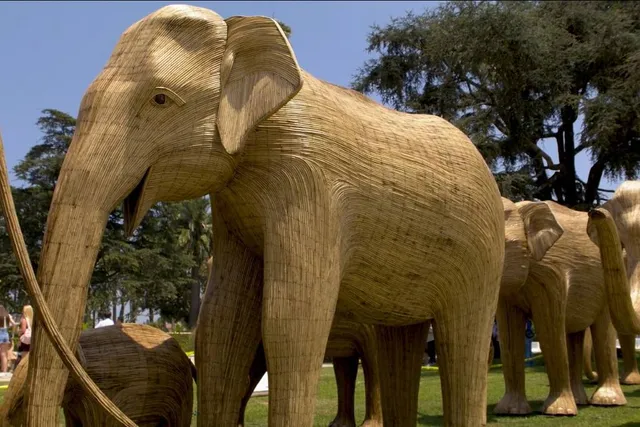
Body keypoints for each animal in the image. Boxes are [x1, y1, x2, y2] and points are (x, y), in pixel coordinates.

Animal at [494, 198, 626, 416]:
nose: (594, 213)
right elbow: (509, 335)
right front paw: (509, 411)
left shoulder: (550, 271)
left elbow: (548, 330)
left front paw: (558, 412)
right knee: (574, 336)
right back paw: (580, 401)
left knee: (603, 332)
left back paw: (606, 401)